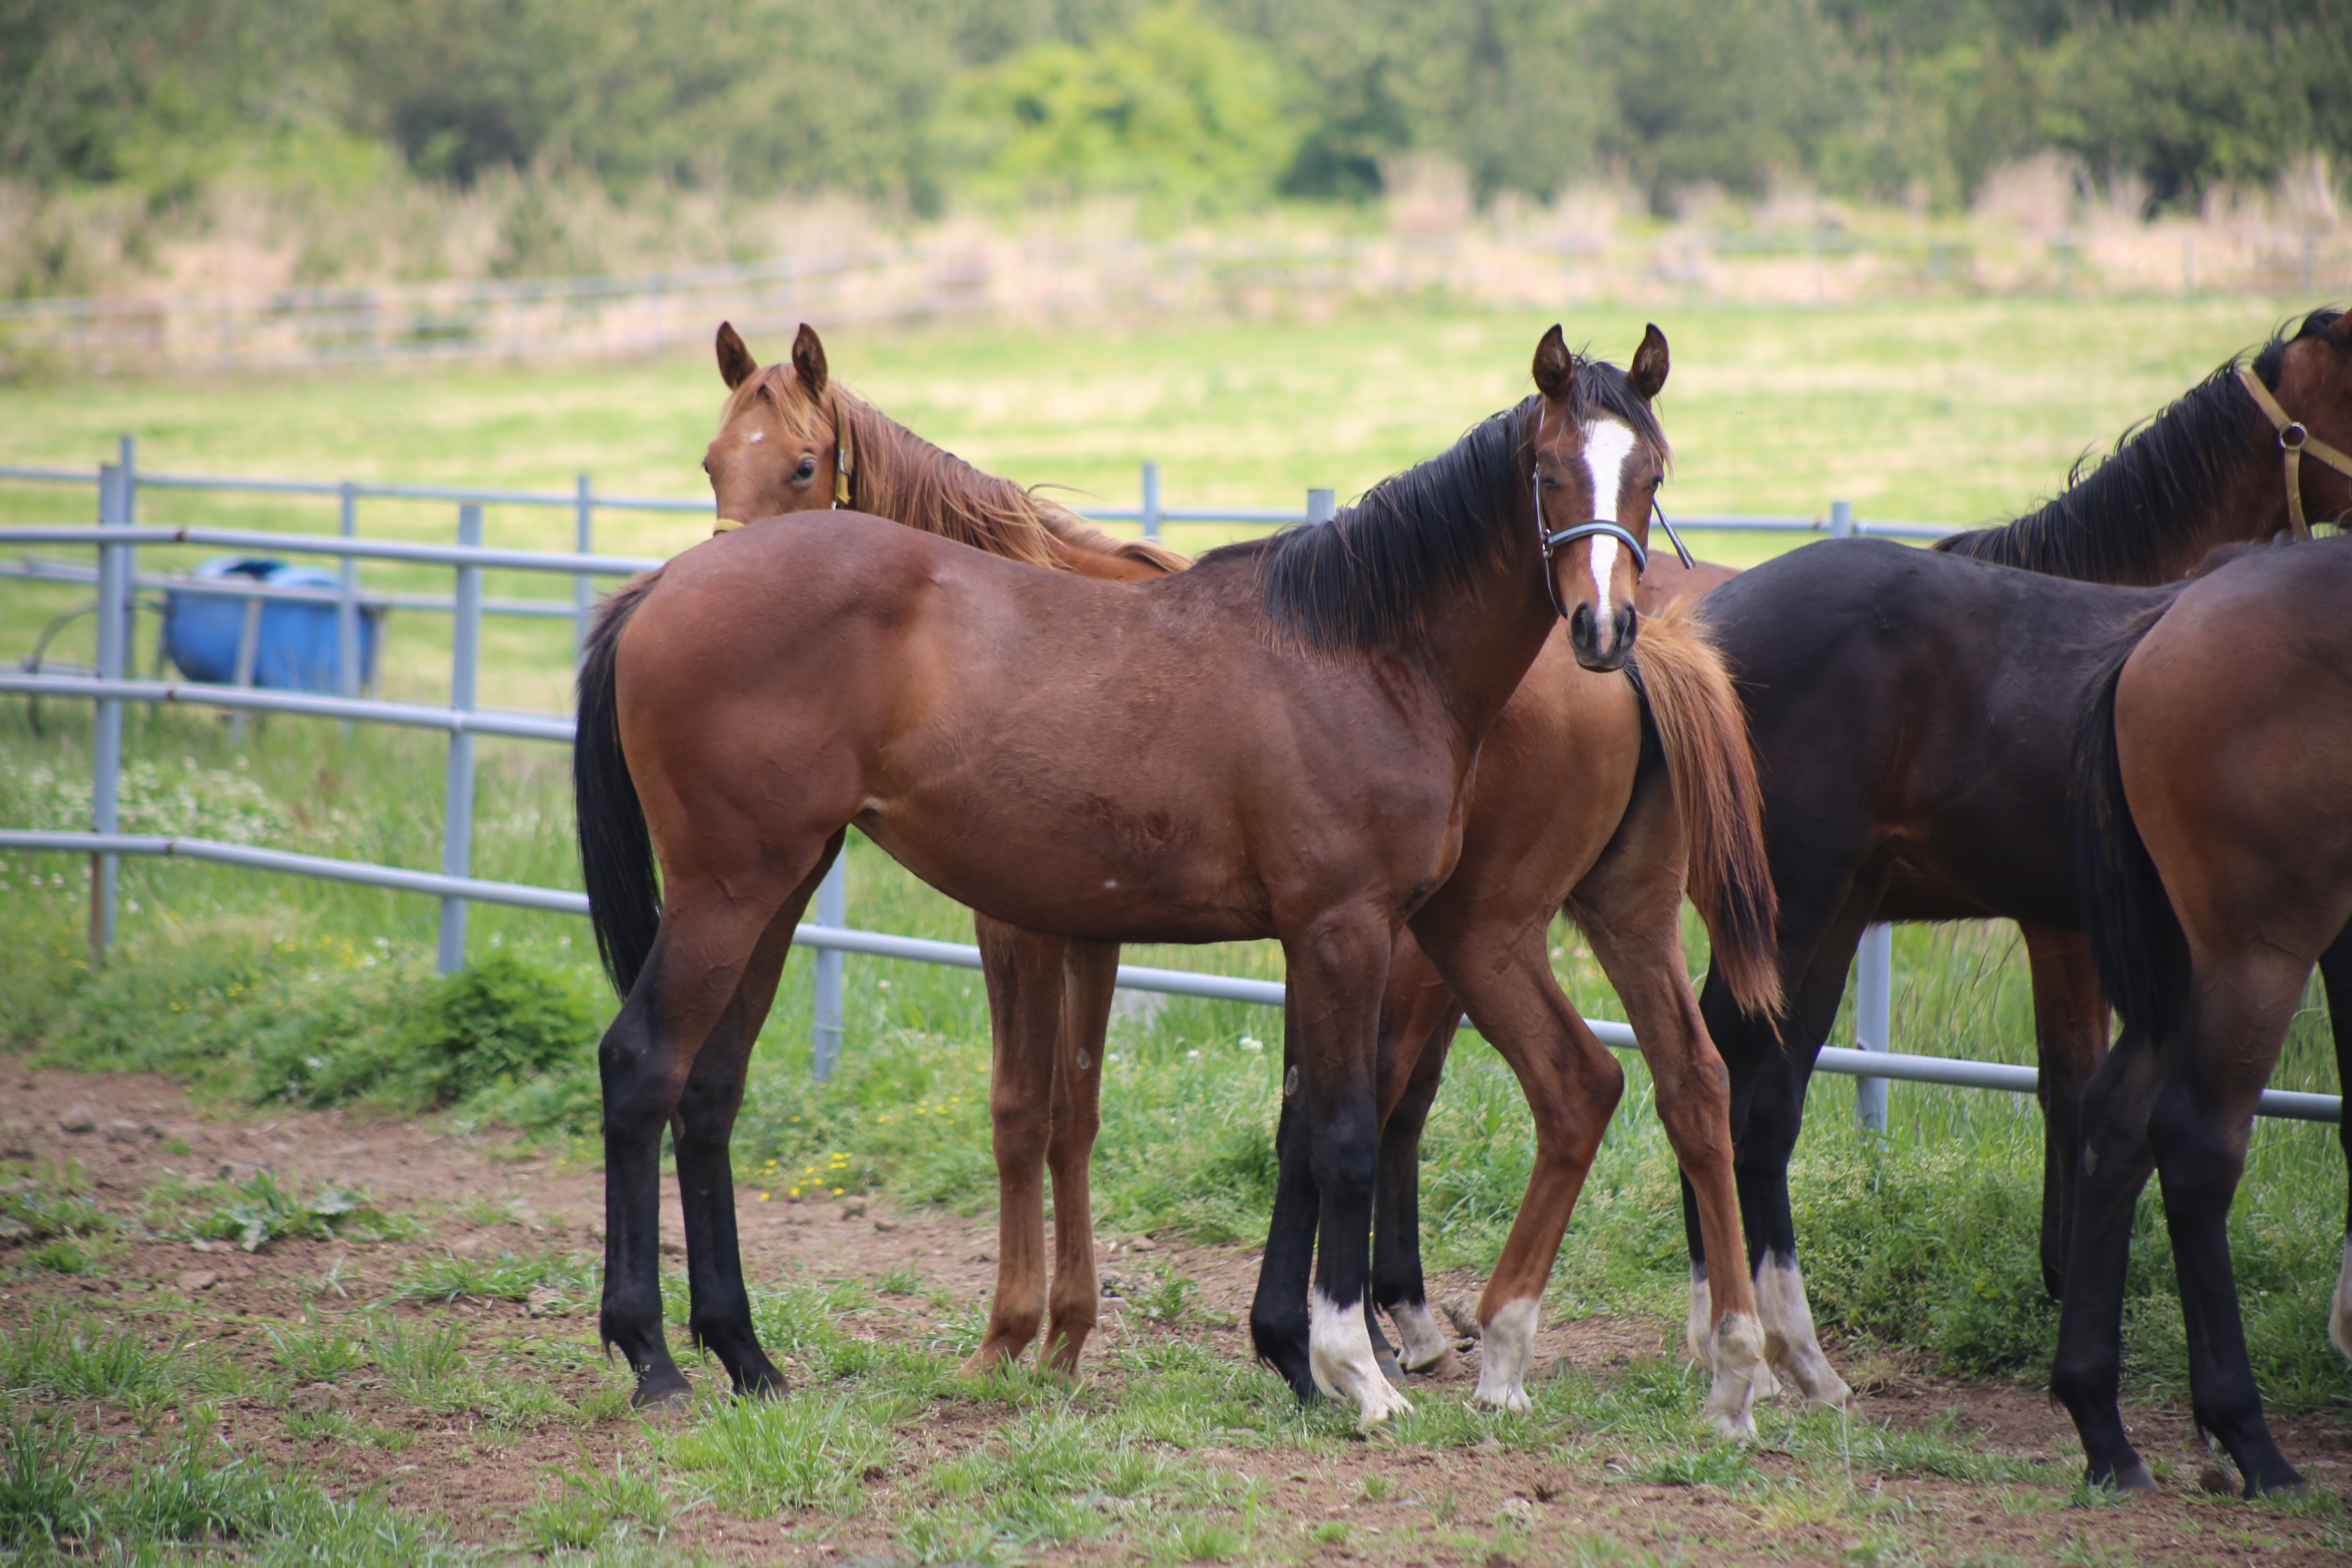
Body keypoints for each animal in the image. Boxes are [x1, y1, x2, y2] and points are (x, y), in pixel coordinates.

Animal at [574, 324, 1768, 1429]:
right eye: (1549, 472)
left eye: (1650, 474)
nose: (1602, 625)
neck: (1363, 649)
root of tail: (667, 586)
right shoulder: (1333, 928)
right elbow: (1328, 1135)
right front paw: (1349, 1373)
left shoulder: (1300, 934)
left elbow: (1259, 1123)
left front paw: (1276, 1353)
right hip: (734, 891)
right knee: (643, 1066)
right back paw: (656, 1359)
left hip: (775, 890)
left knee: (709, 1088)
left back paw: (747, 1356)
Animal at [2069, 531, 2352, 1495]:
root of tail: (2171, 615)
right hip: (2255, 951)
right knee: (2195, 1144)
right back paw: (2249, 1438)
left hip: (2188, 969)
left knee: (2117, 1124)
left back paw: (2103, 1427)